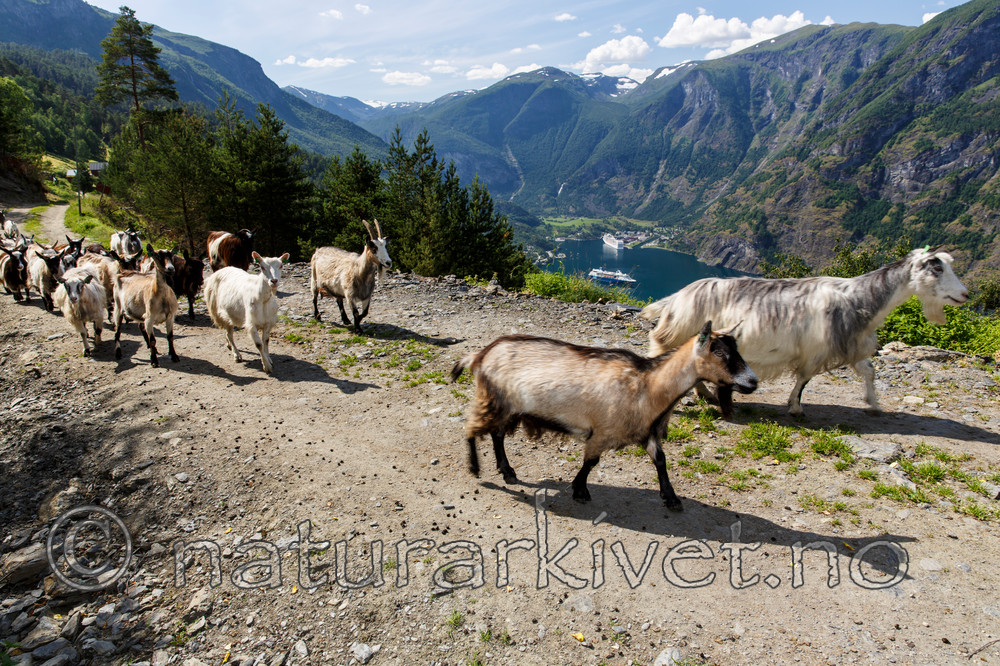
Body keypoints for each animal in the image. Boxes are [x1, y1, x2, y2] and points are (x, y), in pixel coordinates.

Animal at [451, 323, 757, 510]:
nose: (752, 382)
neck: (649, 385)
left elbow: (660, 460)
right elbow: (591, 461)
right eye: (720, 352)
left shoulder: (645, 430)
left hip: (507, 406)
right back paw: (475, 468)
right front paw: (579, 490)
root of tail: (481, 354)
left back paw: (507, 471)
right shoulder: (603, 430)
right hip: (492, 398)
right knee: (471, 427)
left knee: (497, 434)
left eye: (737, 349)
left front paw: (671, 498)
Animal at [642, 247, 969, 417]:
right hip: (678, 332)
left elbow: (869, 371)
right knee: (660, 350)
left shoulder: (851, 345)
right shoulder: (817, 350)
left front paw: (874, 404)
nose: (965, 294)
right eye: (936, 267)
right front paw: (796, 407)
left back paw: (706, 395)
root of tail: (679, 296)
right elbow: (804, 379)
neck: (859, 299)